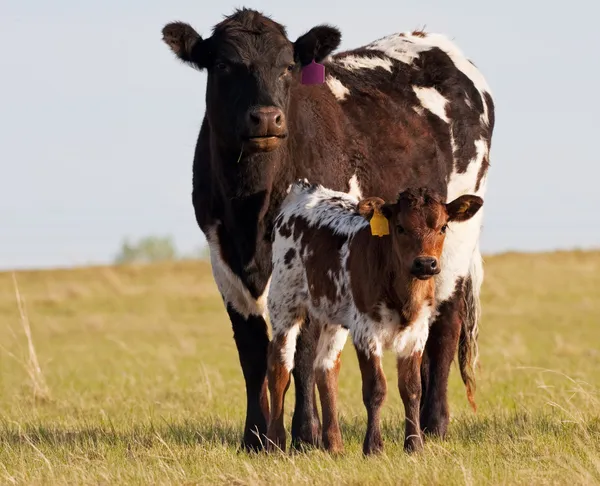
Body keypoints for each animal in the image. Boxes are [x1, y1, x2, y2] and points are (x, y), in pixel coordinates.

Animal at [268, 179, 482, 456]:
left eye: (443, 227)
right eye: (399, 227)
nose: (426, 264)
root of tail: (304, 189)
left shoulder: (417, 333)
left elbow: (412, 388)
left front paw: (414, 445)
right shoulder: (365, 331)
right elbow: (376, 388)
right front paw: (373, 447)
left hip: (332, 315)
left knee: (326, 368)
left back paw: (334, 445)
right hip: (284, 302)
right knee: (279, 368)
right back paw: (274, 443)